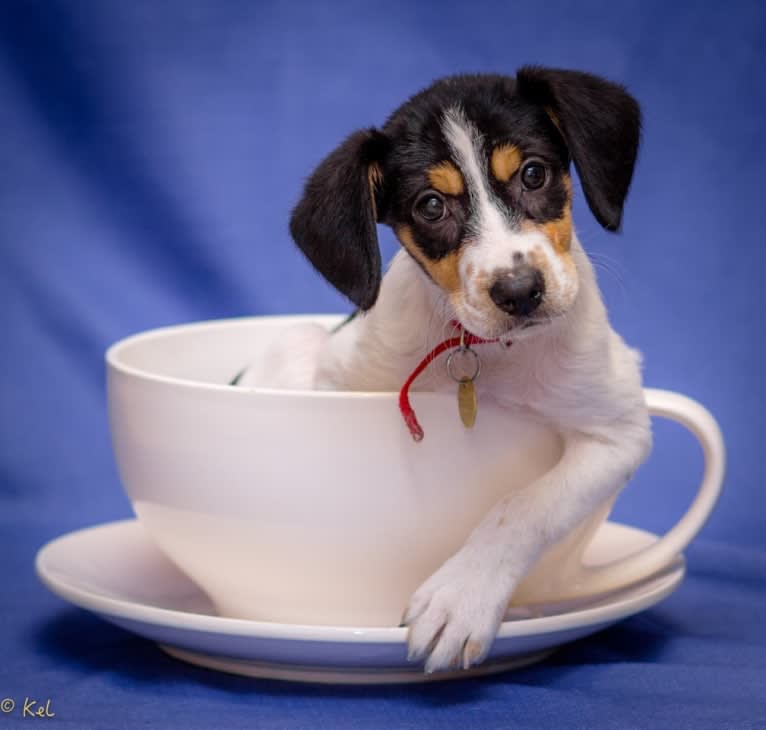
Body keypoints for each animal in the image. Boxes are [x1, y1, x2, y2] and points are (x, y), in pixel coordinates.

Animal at [248, 67, 656, 672]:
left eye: (534, 174)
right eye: (431, 206)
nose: (520, 291)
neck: (492, 351)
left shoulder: (619, 427)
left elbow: (525, 505)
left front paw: (462, 597)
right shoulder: (338, 377)